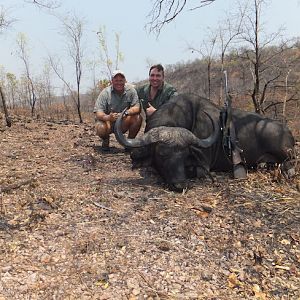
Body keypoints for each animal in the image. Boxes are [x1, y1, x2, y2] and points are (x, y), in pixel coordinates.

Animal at [115, 94, 296, 191]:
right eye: (161, 154)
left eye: (184, 155)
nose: (180, 184)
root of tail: (287, 131)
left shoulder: (202, 166)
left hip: (285, 153)